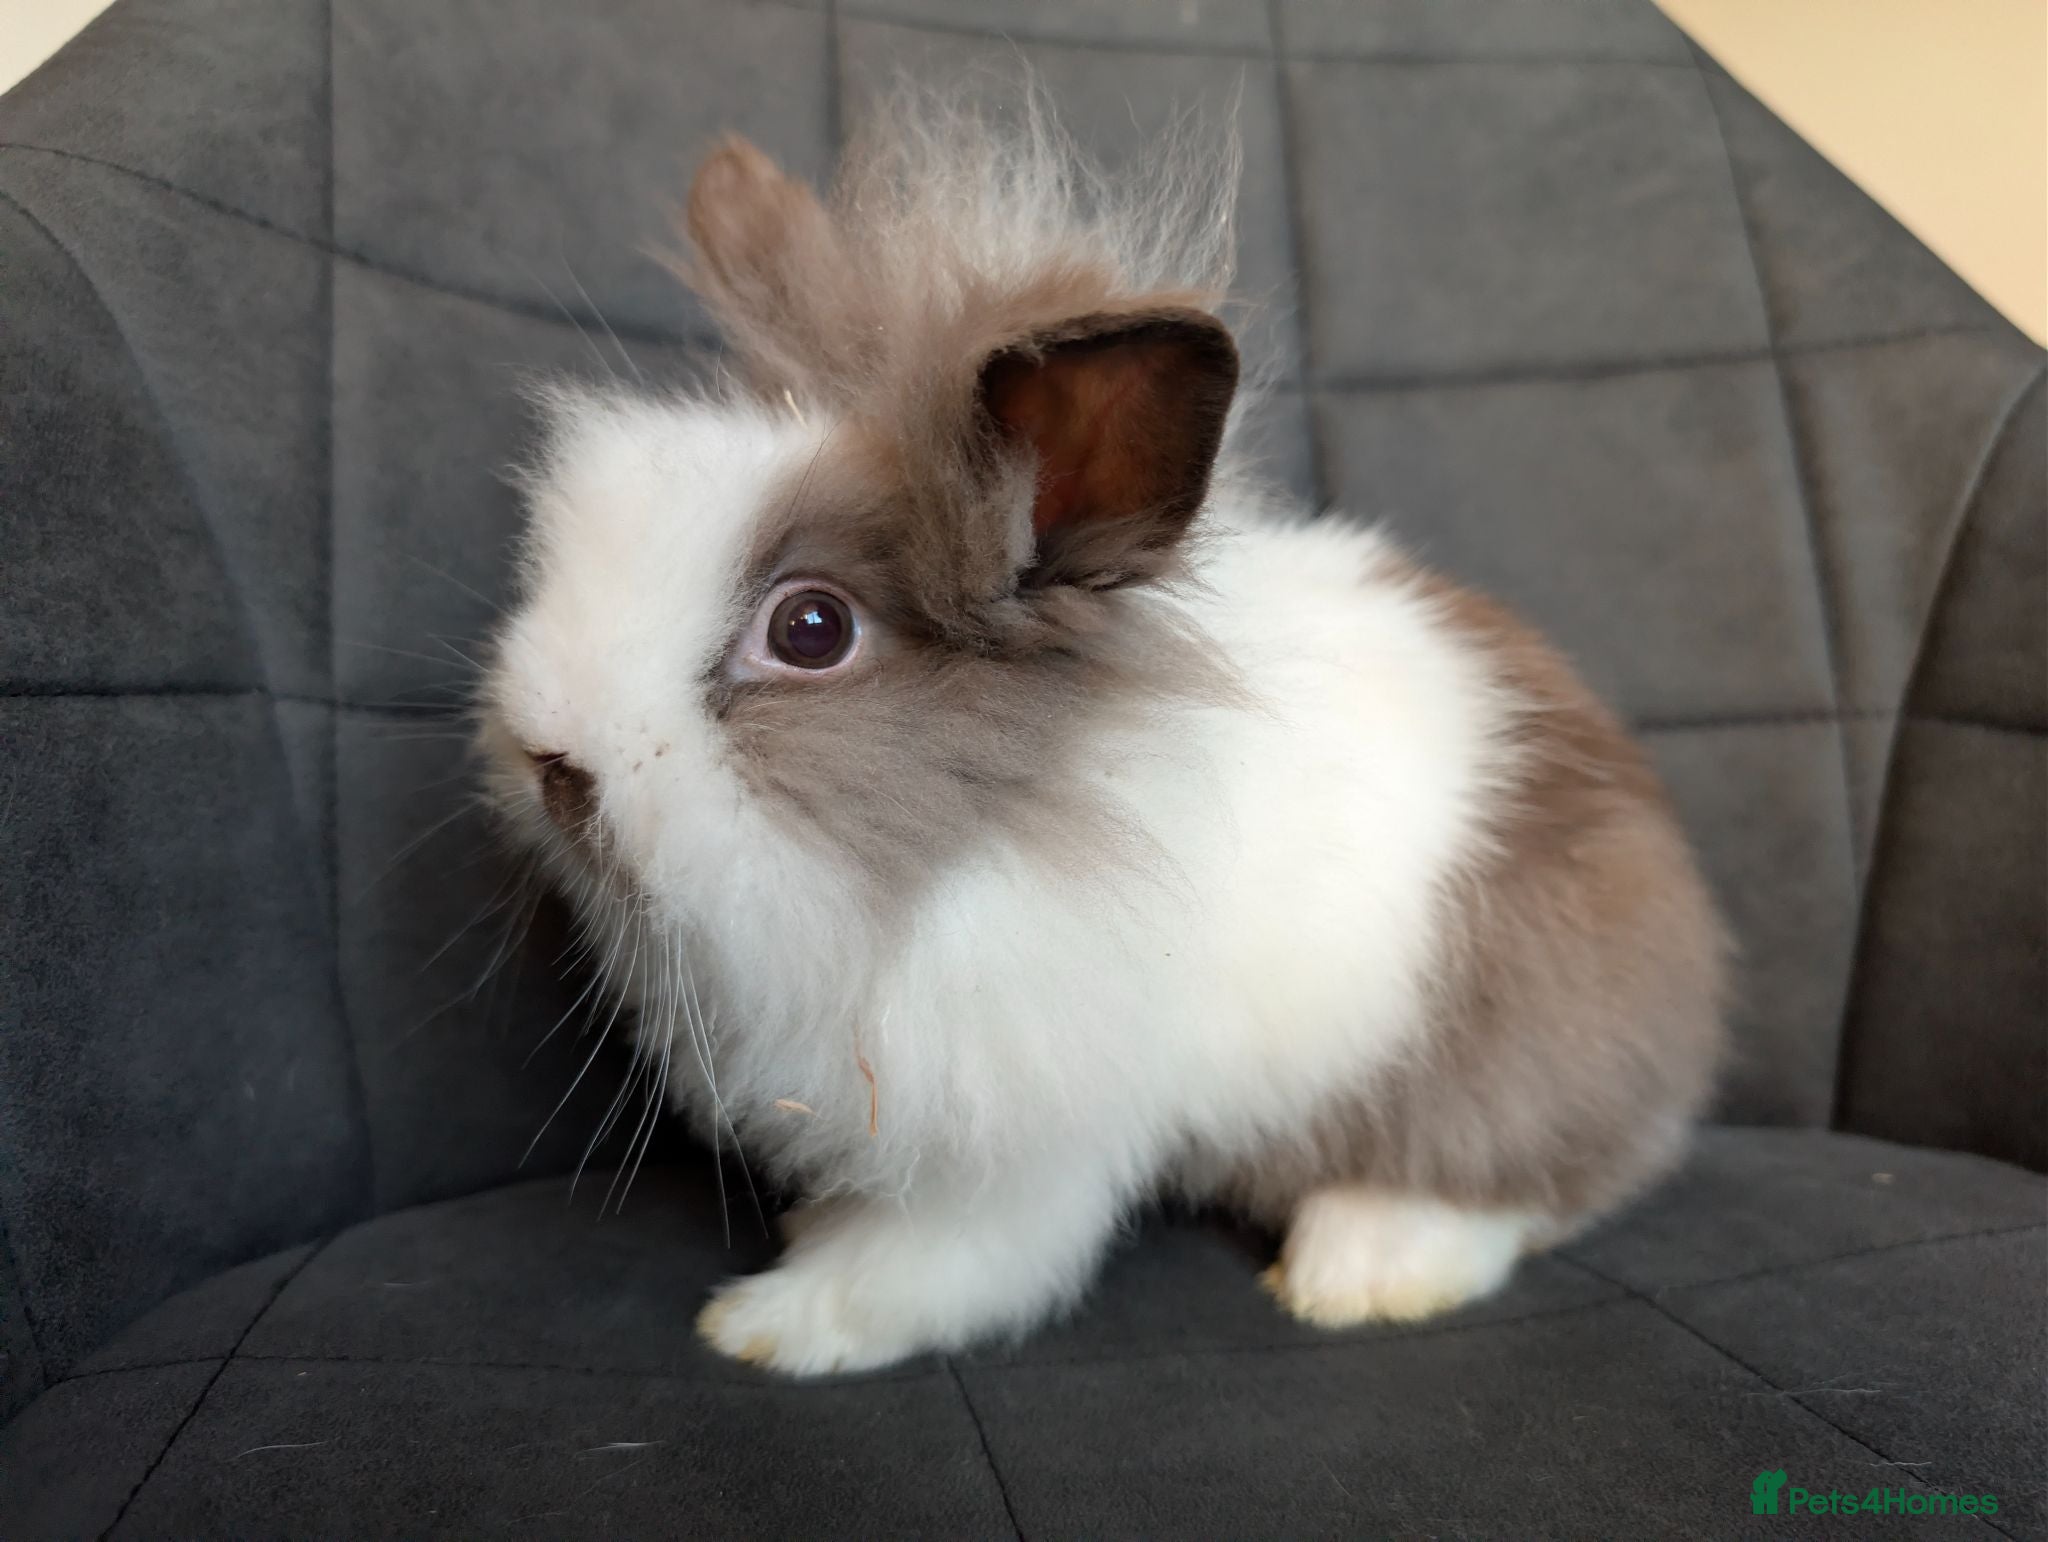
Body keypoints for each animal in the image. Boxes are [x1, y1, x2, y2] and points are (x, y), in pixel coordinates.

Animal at [477, 87, 1729, 1378]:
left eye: (810, 629)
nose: (547, 761)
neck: (982, 843)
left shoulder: (1013, 1150)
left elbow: (934, 1265)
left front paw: (769, 1324)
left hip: (1494, 1059)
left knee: (1511, 1183)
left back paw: (1354, 1271)